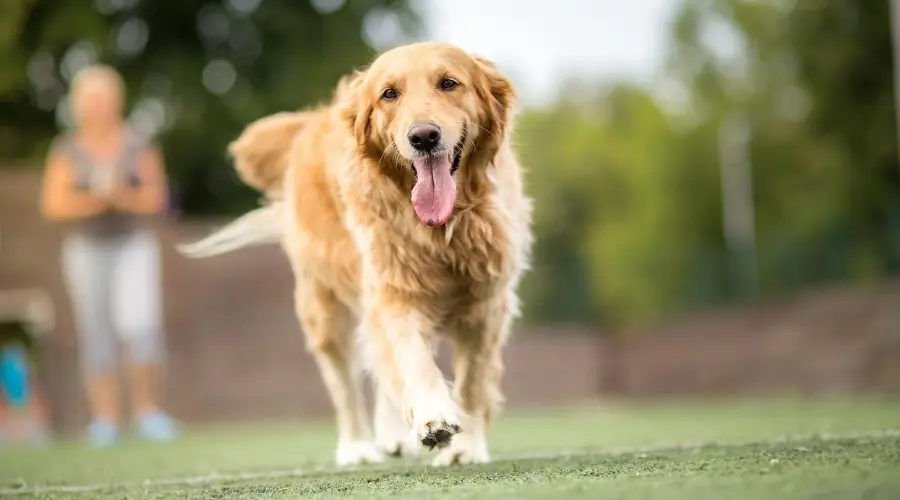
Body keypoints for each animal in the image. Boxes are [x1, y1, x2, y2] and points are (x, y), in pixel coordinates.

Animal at [184, 41, 536, 466]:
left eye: (449, 83)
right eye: (389, 93)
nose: (423, 137)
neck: (441, 230)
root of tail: (313, 120)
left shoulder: (486, 304)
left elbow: (472, 382)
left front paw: (465, 449)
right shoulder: (393, 291)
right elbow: (412, 358)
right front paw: (432, 415)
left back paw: (394, 436)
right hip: (324, 309)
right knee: (345, 384)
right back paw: (358, 448)